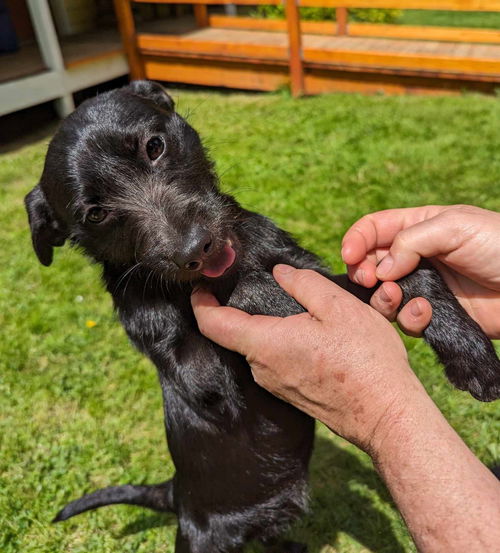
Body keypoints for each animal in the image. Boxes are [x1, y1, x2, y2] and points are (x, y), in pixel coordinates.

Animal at [25, 80, 500, 548]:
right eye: (96, 214)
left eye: (154, 147)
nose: (195, 250)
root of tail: (176, 493)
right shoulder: (203, 378)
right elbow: (246, 293)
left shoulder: (308, 270)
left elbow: (411, 273)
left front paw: (472, 355)